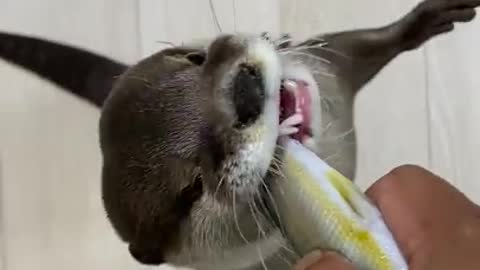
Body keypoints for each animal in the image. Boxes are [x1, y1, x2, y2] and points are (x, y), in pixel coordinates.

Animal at [1, 1, 478, 268]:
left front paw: (426, 19)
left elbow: (361, 43)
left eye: (193, 58)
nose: (245, 92)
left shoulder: (331, 68)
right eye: (192, 189)